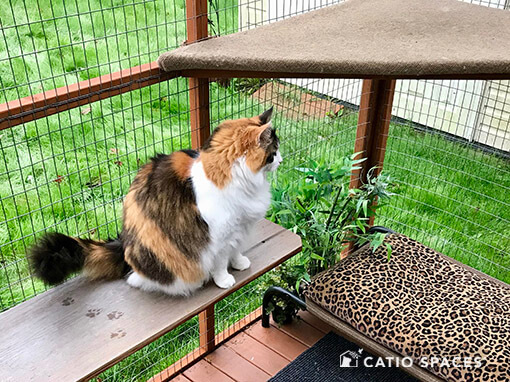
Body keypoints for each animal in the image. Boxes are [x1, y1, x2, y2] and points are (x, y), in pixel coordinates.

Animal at [29, 107, 280, 296]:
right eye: (274, 152)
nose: (281, 159)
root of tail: (124, 245)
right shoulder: (219, 237)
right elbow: (220, 262)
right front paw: (224, 279)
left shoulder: (240, 228)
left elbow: (235, 251)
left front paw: (239, 263)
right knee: (134, 278)